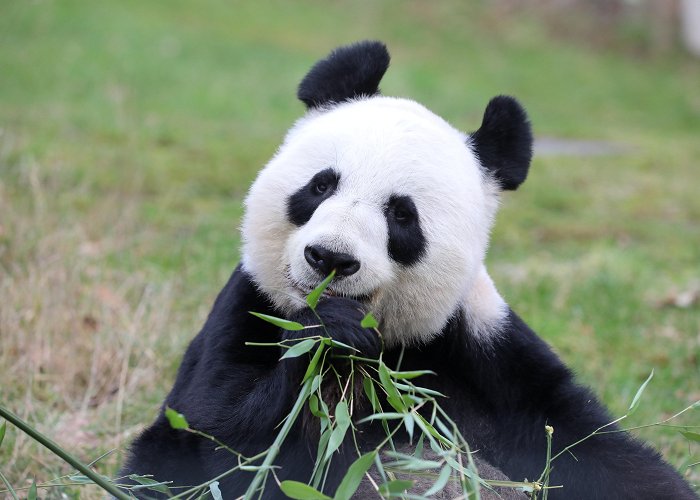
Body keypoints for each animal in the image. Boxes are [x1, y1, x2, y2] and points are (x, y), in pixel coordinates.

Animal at [123, 41, 696, 498]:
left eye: (401, 215)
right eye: (320, 185)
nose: (330, 259)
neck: (387, 346)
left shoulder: (481, 350)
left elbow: (589, 450)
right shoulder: (252, 308)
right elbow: (221, 437)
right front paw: (329, 336)